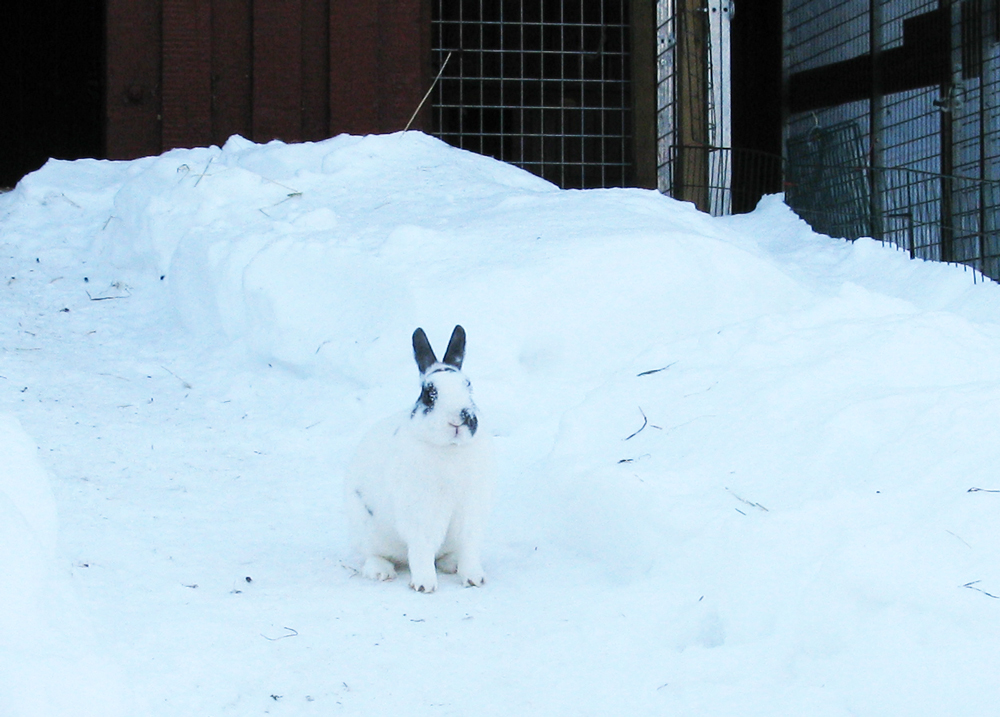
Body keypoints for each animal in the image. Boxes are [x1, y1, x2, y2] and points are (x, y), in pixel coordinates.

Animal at [345, 325, 496, 593]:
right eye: (429, 393)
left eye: (468, 386)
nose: (460, 417)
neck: (450, 449)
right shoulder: (421, 513)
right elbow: (422, 548)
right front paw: (425, 585)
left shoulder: (471, 511)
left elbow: (469, 546)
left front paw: (474, 578)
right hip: (365, 529)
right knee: (373, 554)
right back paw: (381, 571)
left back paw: (452, 564)